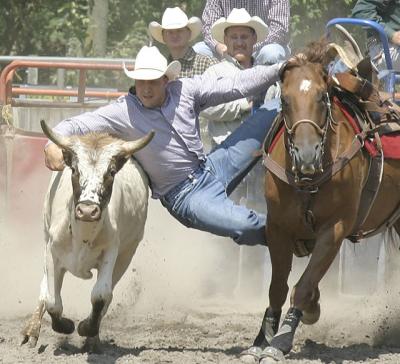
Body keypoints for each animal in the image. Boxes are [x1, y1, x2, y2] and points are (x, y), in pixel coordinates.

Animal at [241, 39, 400, 362]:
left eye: (322, 97)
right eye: (285, 100)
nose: (306, 154)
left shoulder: (335, 229)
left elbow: (302, 287)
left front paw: (282, 340)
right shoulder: (277, 228)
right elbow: (278, 287)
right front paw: (262, 339)